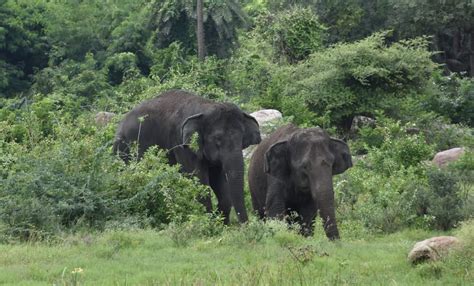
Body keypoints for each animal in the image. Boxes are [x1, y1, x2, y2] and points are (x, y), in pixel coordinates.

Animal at [113, 89, 262, 223]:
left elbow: (218, 180)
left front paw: (221, 225)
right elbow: (197, 177)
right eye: (217, 139)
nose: (246, 226)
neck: (205, 106)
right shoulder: (181, 143)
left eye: (241, 139)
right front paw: (210, 224)